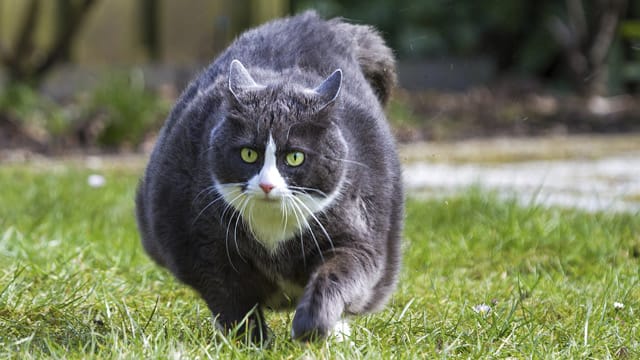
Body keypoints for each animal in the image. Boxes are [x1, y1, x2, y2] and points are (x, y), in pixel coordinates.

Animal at [137, 10, 402, 344]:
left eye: (295, 157)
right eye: (249, 154)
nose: (266, 184)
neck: (274, 230)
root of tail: (318, 23)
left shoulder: (357, 236)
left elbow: (340, 273)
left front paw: (311, 326)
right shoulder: (203, 247)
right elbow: (231, 300)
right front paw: (251, 343)